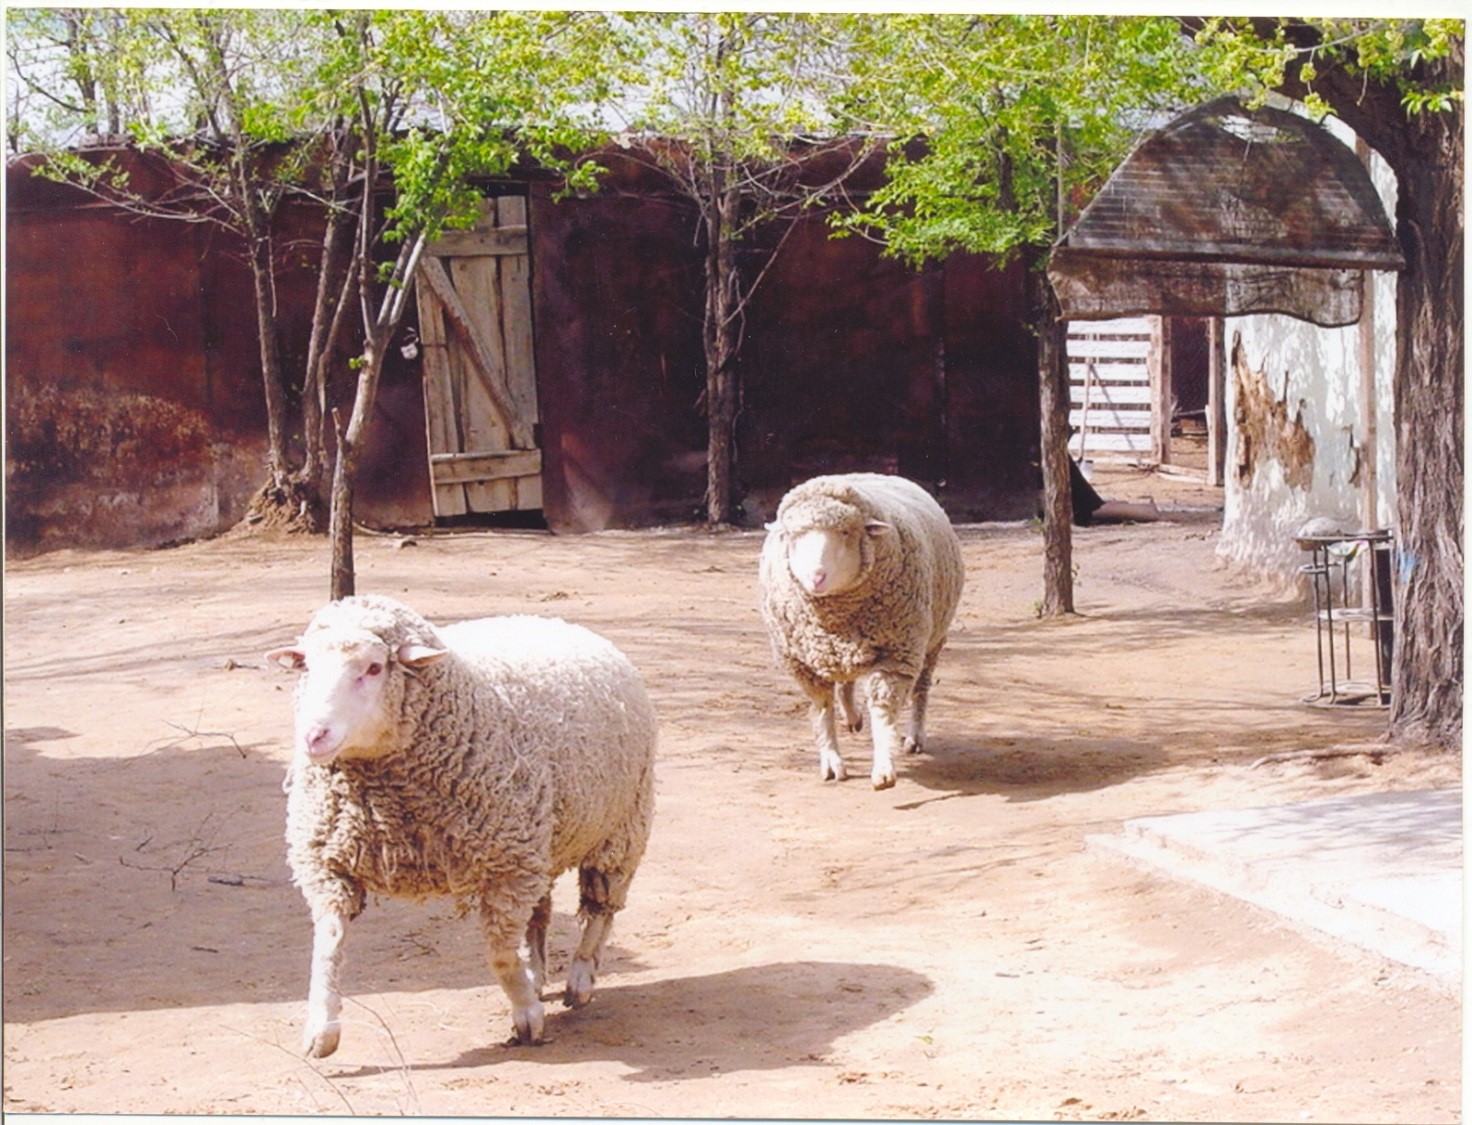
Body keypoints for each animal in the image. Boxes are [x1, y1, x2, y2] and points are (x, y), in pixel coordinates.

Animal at [265, 594, 656, 1058]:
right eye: (307, 666)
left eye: (374, 668)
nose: (314, 736)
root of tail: (551, 620)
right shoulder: (329, 865)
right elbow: (327, 945)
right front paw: (321, 1031)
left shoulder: (507, 867)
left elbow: (500, 954)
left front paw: (527, 1018)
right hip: (542, 843)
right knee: (540, 915)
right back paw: (537, 974)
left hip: (619, 829)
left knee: (600, 909)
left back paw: (579, 980)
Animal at [759, 473, 964, 790]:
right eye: (793, 536)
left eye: (845, 532)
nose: (816, 577)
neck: (835, 617)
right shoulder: (803, 665)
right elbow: (823, 709)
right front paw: (832, 762)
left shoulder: (896, 656)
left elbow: (882, 709)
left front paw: (883, 769)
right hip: (839, 652)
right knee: (846, 682)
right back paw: (852, 717)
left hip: (932, 641)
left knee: (921, 689)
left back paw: (915, 736)